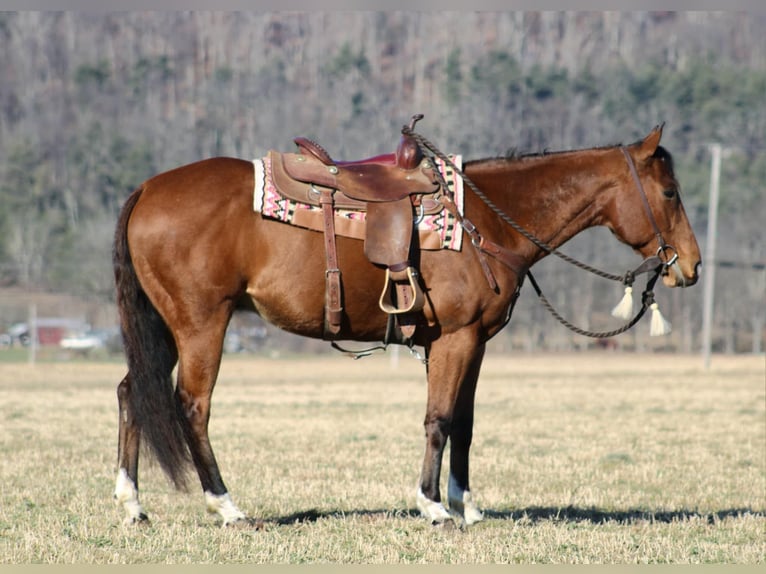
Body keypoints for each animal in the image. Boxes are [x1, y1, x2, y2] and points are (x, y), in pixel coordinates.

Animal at [112, 124, 704, 528]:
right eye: (670, 193)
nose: (692, 266)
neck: (484, 222)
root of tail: (147, 189)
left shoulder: (472, 343)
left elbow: (464, 422)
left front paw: (466, 505)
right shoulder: (455, 339)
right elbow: (438, 419)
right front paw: (433, 506)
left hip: (162, 328)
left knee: (131, 392)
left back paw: (132, 503)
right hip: (201, 324)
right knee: (192, 405)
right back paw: (226, 506)